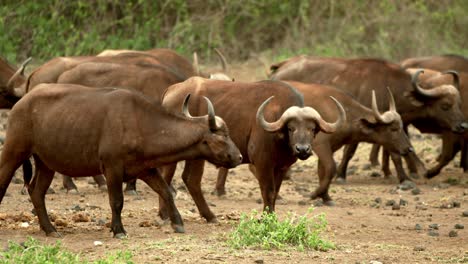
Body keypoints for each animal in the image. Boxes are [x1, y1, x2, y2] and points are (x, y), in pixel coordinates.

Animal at [0, 83, 241, 238]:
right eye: (222, 137)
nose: (238, 157)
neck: (140, 123)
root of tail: (22, 102)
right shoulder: (112, 168)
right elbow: (116, 201)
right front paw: (118, 230)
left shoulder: (145, 169)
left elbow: (166, 191)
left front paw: (178, 223)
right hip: (14, 151)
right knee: (4, 183)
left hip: (46, 163)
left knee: (36, 192)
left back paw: (50, 229)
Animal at [216, 81, 414, 203]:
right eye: (393, 129)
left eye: (313, 129)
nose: (409, 149)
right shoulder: (321, 146)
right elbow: (331, 167)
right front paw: (315, 194)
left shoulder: (324, 148)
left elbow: (323, 171)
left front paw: (325, 196)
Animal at [266, 56, 468, 184]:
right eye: (445, 105)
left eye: (459, 103)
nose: (463, 126)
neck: (389, 86)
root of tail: (281, 68)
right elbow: (353, 150)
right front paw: (341, 175)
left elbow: (391, 148)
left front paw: (394, 173)